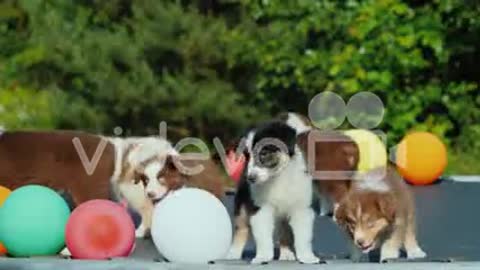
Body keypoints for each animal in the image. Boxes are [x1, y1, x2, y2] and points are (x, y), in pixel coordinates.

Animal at [229, 116, 318, 264]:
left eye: (263, 153)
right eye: (247, 156)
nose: (250, 178)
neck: (277, 178)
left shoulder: (302, 208)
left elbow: (303, 236)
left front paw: (307, 257)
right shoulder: (260, 208)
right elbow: (263, 236)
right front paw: (262, 257)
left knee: (284, 232)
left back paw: (286, 254)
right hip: (241, 204)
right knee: (241, 228)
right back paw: (233, 253)